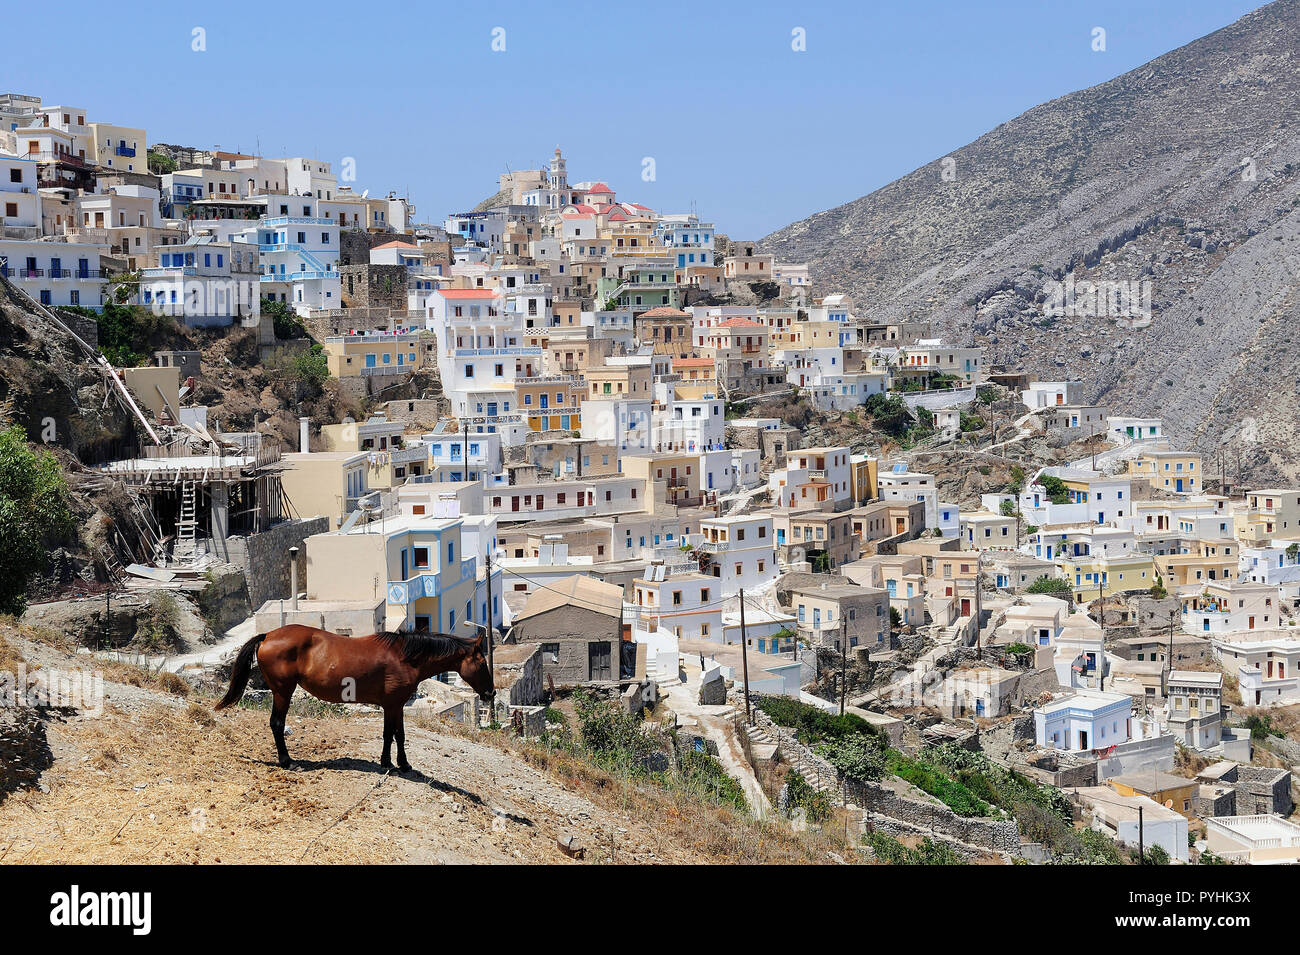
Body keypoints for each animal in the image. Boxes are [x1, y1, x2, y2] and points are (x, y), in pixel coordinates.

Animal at [215, 623, 493, 774]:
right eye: (482, 663)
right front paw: (392, 763)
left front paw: (398, 763)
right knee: (277, 723)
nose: (491, 693)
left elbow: (397, 734)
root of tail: (268, 636)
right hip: (283, 691)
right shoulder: (392, 704)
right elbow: (392, 734)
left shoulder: (396, 705)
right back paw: (288, 762)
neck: (405, 657)